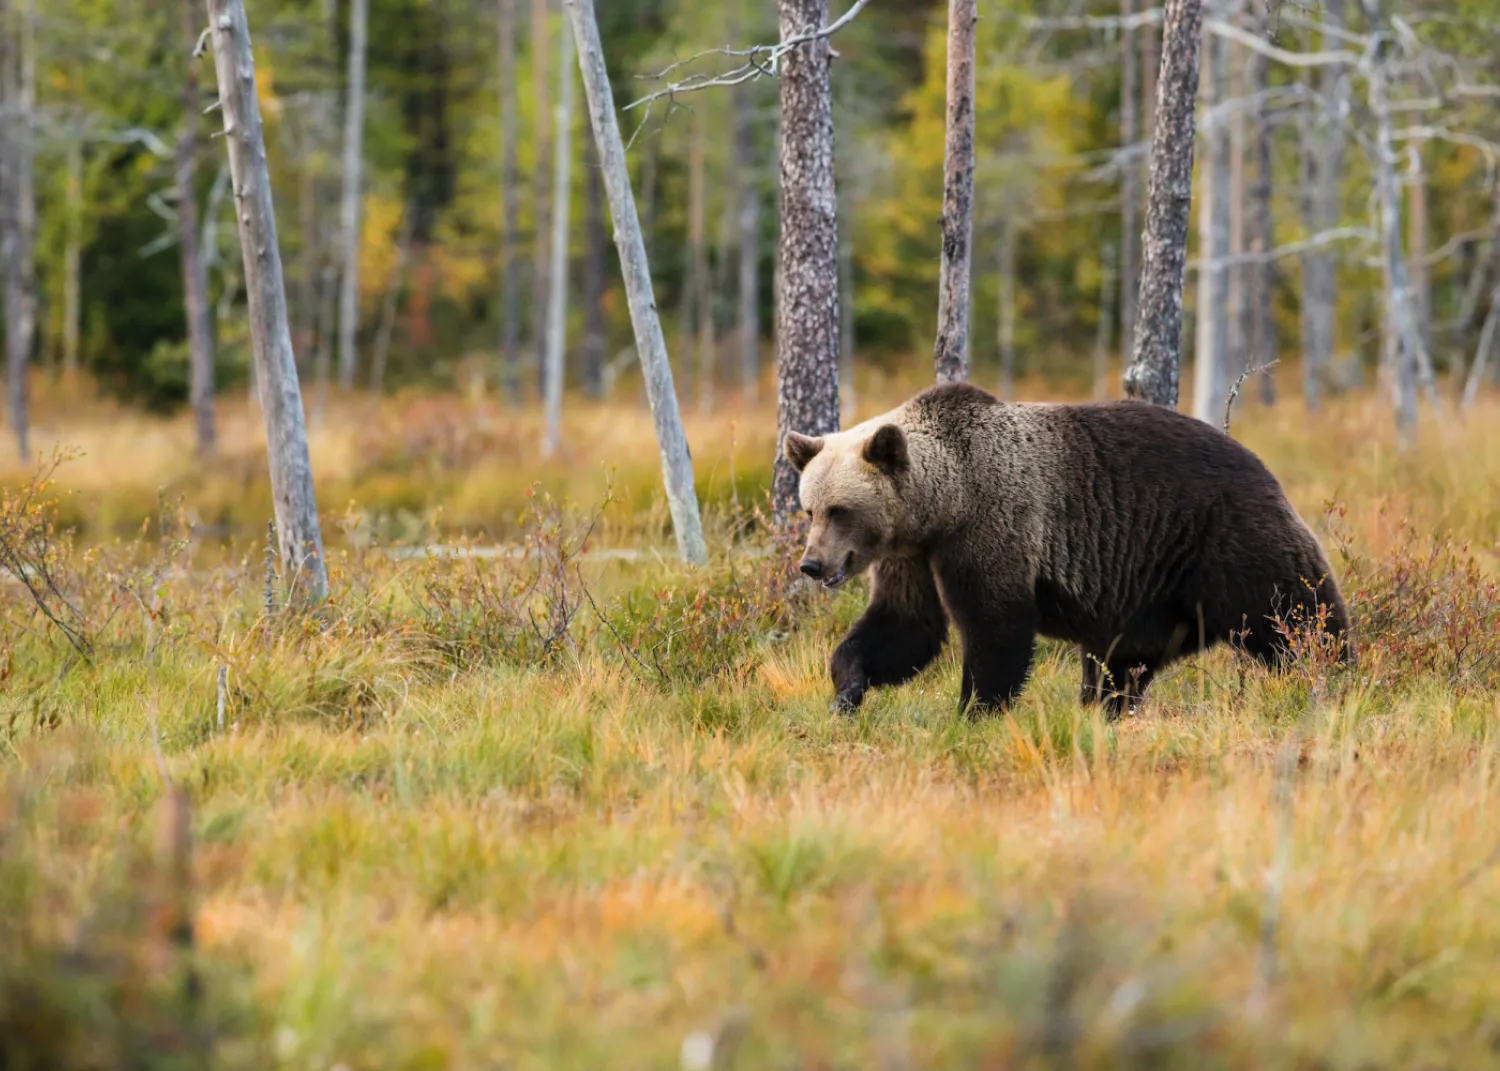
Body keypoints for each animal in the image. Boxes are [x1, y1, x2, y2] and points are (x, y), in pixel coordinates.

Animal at [783, 381, 1352, 717]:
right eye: (809, 509)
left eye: (840, 510)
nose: (812, 564)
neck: (943, 504)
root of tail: (1263, 466)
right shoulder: (914, 556)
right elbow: (904, 627)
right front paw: (847, 689)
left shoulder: (993, 525)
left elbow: (996, 629)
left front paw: (975, 710)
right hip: (1150, 592)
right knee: (1123, 662)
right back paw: (1106, 708)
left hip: (1227, 541)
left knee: (1298, 615)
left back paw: (1334, 677)